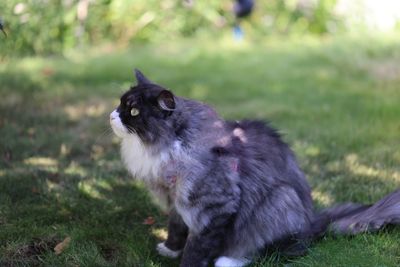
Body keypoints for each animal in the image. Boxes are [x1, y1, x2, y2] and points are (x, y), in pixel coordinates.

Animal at [109, 70, 400, 267]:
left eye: (133, 112)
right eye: (120, 103)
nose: (111, 116)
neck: (174, 144)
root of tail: (312, 223)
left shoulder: (216, 206)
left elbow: (199, 247)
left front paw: (189, 261)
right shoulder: (177, 202)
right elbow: (176, 228)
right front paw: (170, 249)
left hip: (279, 201)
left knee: (282, 250)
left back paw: (230, 260)